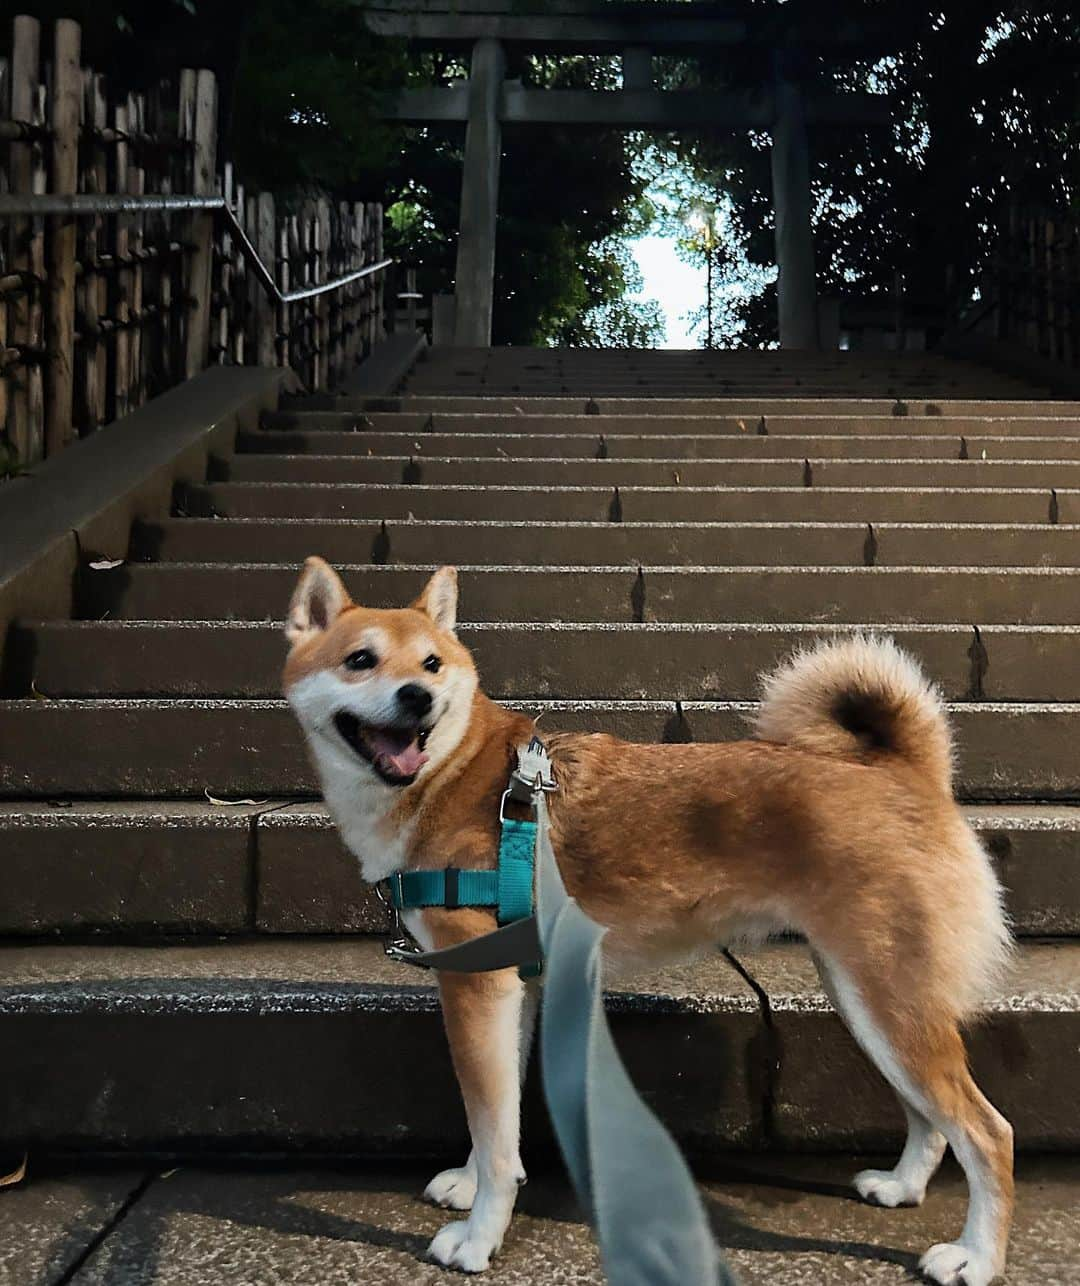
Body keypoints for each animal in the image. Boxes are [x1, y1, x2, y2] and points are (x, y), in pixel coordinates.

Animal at [284, 558, 1013, 1280]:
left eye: (432, 664)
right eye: (360, 659)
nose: (417, 697)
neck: (452, 775)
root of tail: (904, 769)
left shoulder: (475, 986)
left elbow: (490, 1128)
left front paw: (477, 1238)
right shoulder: (508, 985)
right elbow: (502, 1119)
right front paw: (471, 1185)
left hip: (886, 1000)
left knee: (986, 1132)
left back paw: (976, 1257)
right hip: (867, 998)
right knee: (930, 1118)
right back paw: (902, 1186)